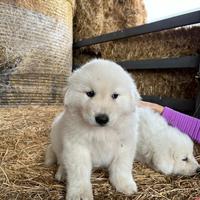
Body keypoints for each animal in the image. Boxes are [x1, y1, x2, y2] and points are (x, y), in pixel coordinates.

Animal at [44, 58, 140, 199]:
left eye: (115, 95)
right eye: (90, 93)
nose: (102, 119)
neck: (101, 131)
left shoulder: (125, 144)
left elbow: (121, 166)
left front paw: (124, 184)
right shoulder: (77, 147)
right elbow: (79, 172)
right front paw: (79, 194)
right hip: (56, 140)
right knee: (61, 161)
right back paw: (62, 173)